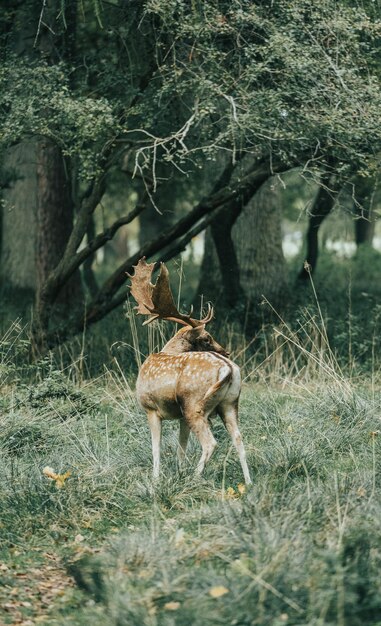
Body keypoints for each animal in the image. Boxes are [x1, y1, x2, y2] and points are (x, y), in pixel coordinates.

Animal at [129, 256, 251, 486]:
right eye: (206, 338)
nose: (226, 351)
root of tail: (228, 368)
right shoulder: (180, 417)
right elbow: (181, 448)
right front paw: (178, 472)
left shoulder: (151, 408)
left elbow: (156, 448)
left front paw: (156, 480)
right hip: (229, 403)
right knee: (239, 438)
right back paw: (248, 483)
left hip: (194, 404)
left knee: (211, 443)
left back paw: (194, 478)